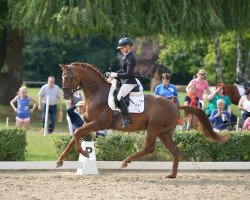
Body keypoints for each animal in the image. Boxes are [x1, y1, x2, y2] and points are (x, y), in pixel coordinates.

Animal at [57, 62, 229, 178]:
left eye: (68, 77)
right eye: (62, 77)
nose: (65, 95)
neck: (97, 93)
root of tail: (175, 105)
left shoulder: (98, 123)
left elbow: (77, 134)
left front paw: (85, 153)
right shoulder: (88, 122)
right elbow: (74, 136)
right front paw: (60, 161)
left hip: (153, 129)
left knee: (149, 148)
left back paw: (125, 162)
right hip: (164, 133)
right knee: (174, 151)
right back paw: (171, 175)